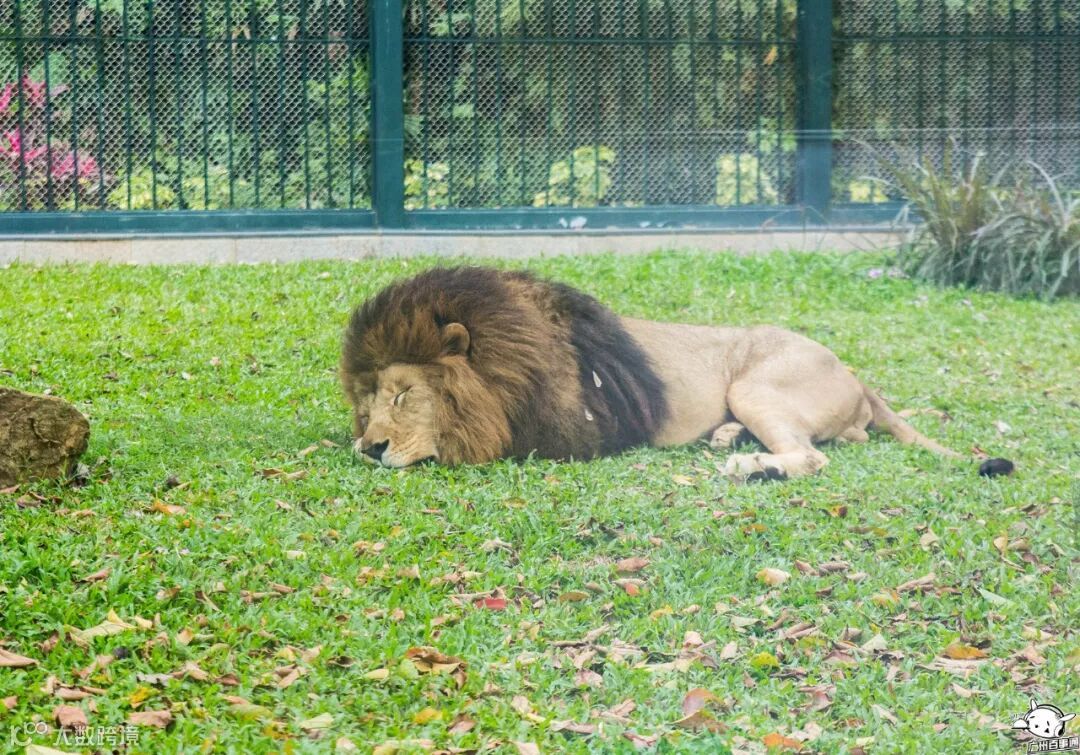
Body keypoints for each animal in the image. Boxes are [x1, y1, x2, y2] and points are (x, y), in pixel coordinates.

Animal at [340, 266, 962, 479]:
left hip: (754, 382)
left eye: (404, 395)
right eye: (367, 404)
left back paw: (753, 465)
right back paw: (729, 437)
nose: (369, 447)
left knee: (813, 456)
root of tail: (858, 378)